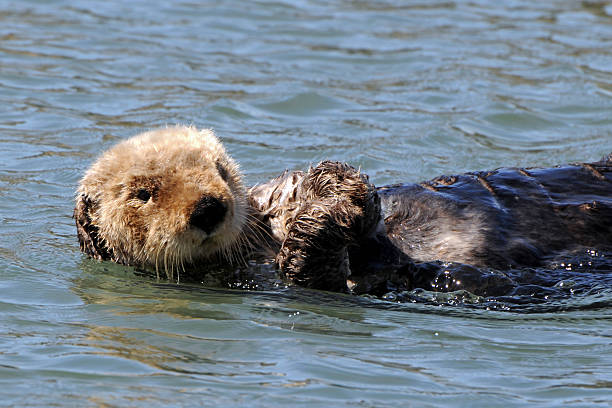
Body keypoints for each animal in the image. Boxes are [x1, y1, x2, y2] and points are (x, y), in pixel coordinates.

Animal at [76, 126, 612, 294]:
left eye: (220, 170)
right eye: (143, 193)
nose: (210, 206)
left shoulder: (267, 201)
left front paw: (335, 185)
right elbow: (318, 269)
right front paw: (327, 216)